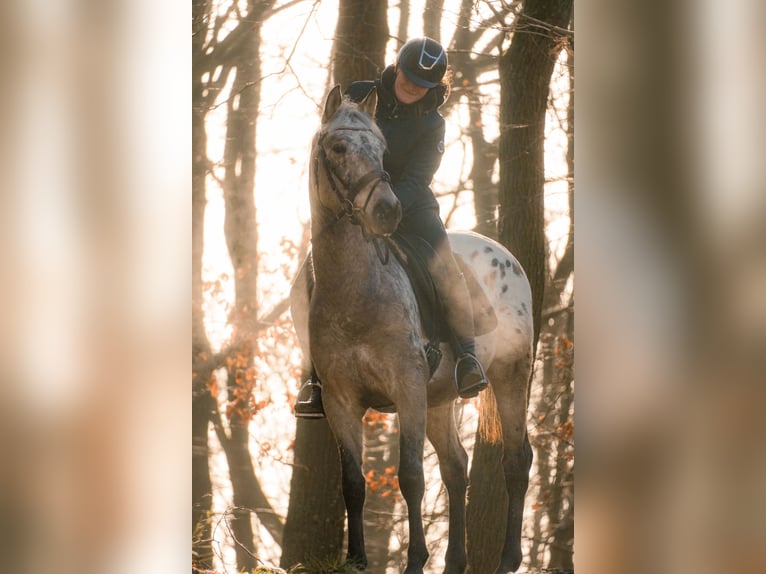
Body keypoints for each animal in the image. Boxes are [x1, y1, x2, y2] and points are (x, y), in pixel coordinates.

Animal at [292, 85, 536, 574]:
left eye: (381, 148)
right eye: (338, 147)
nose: (388, 210)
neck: (355, 291)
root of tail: (505, 253)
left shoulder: (407, 389)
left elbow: (410, 477)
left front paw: (415, 560)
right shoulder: (342, 401)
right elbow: (353, 482)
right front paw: (356, 559)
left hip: (511, 376)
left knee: (516, 461)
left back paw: (507, 560)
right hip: (440, 397)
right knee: (456, 467)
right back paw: (455, 562)